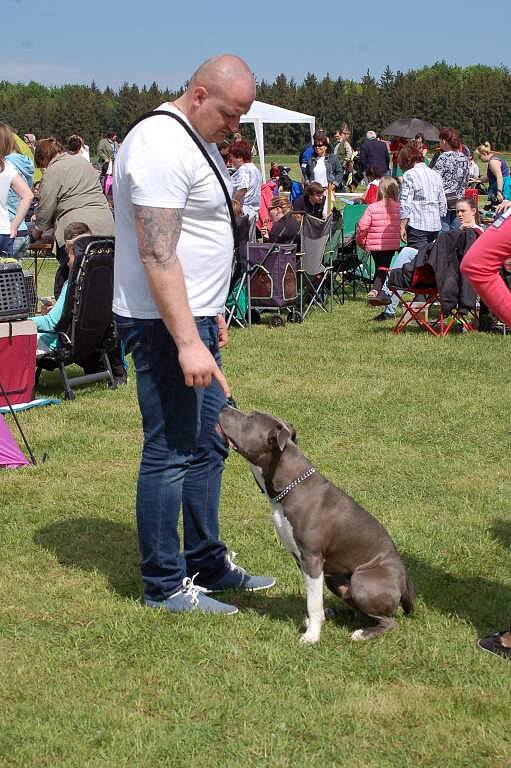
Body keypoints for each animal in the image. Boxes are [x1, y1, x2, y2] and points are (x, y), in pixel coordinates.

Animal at [218, 404, 414, 644]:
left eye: (250, 417)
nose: (224, 406)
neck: (290, 486)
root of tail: (405, 584)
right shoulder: (303, 561)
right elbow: (314, 598)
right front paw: (316, 622)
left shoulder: (311, 558)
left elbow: (312, 602)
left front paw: (311, 636)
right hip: (335, 578)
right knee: (358, 610)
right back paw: (336, 613)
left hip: (362, 579)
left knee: (388, 621)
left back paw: (362, 633)